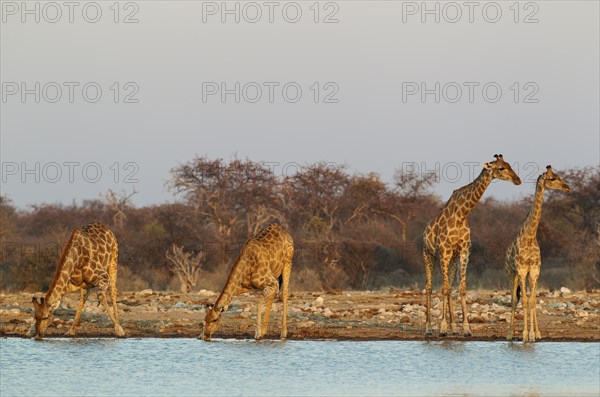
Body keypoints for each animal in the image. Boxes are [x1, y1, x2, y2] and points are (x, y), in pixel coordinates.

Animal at [422, 153, 520, 336]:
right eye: (501, 168)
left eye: (510, 165)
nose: (518, 180)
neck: (461, 214)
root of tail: (425, 231)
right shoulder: (444, 251)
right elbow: (444, 289)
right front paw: (442, 327)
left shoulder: (464, 251)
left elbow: (461, 288)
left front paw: (465, 328)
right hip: (428, 254)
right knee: (430, 287)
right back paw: (429, 328)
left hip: (451, 259)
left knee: (449, 286)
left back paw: (453, 327)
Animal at [506, 166, 572, 342]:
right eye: (552, 178)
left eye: (558, 176)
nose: (567, 187)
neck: (529, 237)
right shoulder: (522, 270)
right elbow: (524, 301)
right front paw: (524, 335)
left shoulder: (534, 271)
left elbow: (532, 301)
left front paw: (534, 334)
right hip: (511, 273)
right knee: (514, 299)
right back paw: (509, 334)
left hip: (528, 275)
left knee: (528, 298)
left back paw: (534, 332)